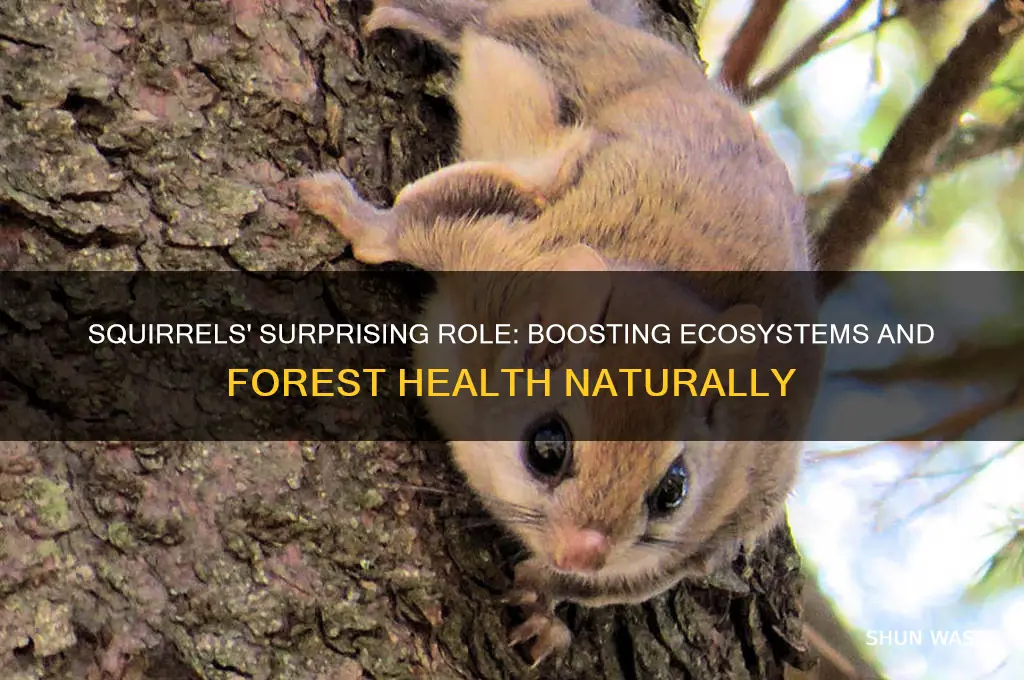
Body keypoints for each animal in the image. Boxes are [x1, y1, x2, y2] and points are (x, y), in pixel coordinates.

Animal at [296, 0, 820, 667]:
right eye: (547, 447)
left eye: (672, 491)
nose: (584, 550)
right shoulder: (497, 250)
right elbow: (407, 228)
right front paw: (348, 212)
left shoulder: (711, 529)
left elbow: (601, 585)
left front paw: (544, 603)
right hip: (550, 53)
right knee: (488, 25)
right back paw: (406, 17)